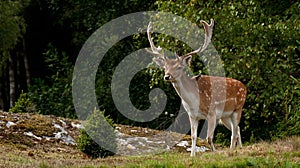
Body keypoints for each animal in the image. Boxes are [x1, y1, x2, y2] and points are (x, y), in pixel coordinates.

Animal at [146, 19, 247, 156]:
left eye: (179, 67)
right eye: (165, 67)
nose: (167, 76)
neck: (194, 101)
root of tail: (244, 87)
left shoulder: (212, 112)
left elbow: (209, 138)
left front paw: (214, 152)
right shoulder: (192, 115)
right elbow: (194, 136)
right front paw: (192, 155)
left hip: (238, 109)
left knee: (234, 131)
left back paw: (232, 150)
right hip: (225, 116)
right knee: (237, 129)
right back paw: (239, 148)